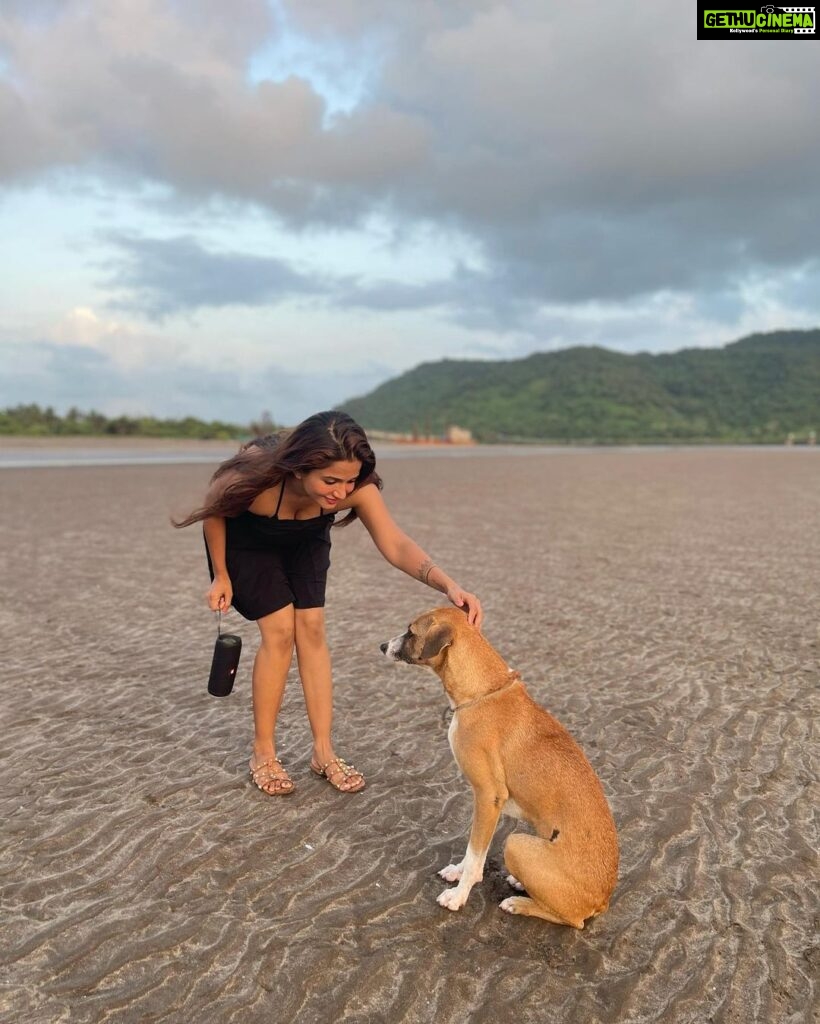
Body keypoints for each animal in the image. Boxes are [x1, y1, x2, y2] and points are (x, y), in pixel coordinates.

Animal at [380, 606, 618, 929]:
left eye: (411, 632)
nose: (382, 646)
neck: (481, 691)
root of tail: (603, 899)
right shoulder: (489, 805)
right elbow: (473, 852)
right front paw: (457, 872)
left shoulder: (487, 796)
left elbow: (475, 854)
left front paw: (458, 896)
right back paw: (520, 884)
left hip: (515, 843)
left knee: (572, 920)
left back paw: (518, 903)